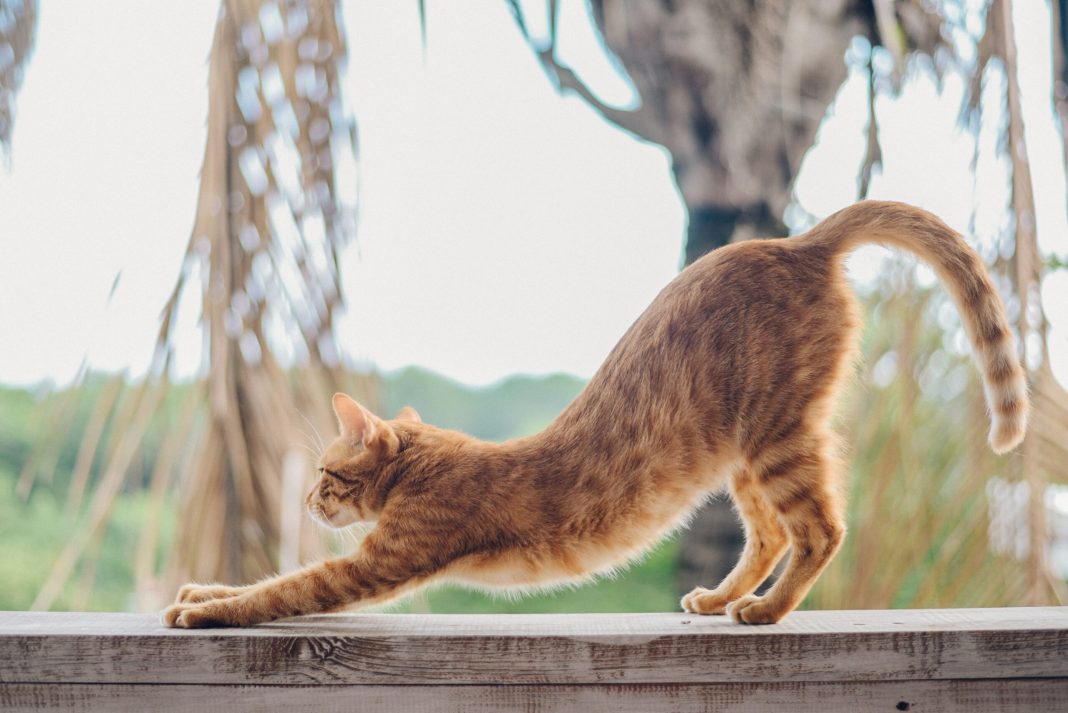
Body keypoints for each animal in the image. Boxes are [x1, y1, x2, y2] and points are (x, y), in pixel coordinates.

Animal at [164, 197, 1025, 627]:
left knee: (817, 529)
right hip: (743, 451)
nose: (310, 500)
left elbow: (282, 588)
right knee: (772, 531)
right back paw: (720, 598)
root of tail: (798, 241)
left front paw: (205, 610)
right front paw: (198, 590)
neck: (430, 463)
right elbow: (268, 578)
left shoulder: (382, 560)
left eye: (324, 473)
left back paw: (764, 610)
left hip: (779, 435)